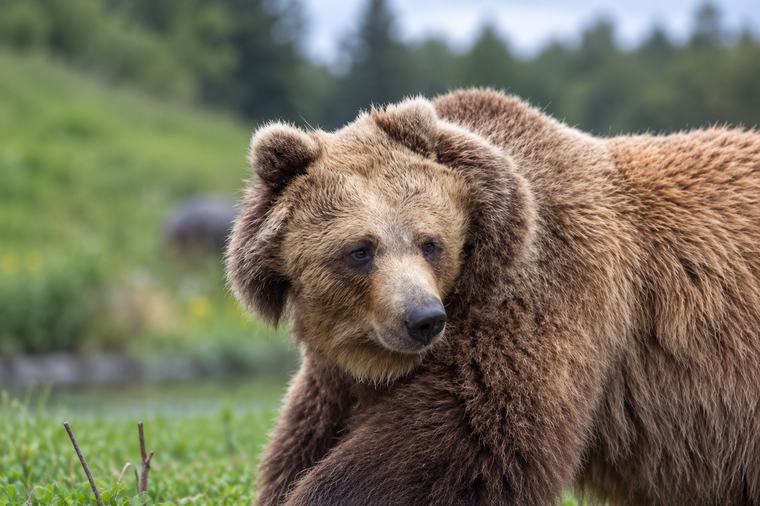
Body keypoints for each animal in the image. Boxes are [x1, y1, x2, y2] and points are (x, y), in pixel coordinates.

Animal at [226, 88, 760, 505]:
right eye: (360, 250)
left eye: (430, 242)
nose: (423, 318)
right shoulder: (335, 376)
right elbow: (304, 440)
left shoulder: (541, 295)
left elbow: (463, 444)